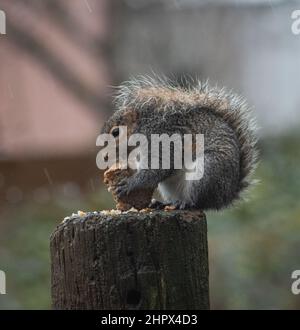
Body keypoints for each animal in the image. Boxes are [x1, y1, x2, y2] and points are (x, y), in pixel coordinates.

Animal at [101, 76, 258, 210]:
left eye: (115, 132)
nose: (105, 157)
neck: (142, 128)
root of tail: (226, 196)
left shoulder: (161, 143)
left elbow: (155, 170)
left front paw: (129, 184)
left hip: (207, 171)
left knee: (199, 201)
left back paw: (185, 203)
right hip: (170, 187)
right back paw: (164, 203)